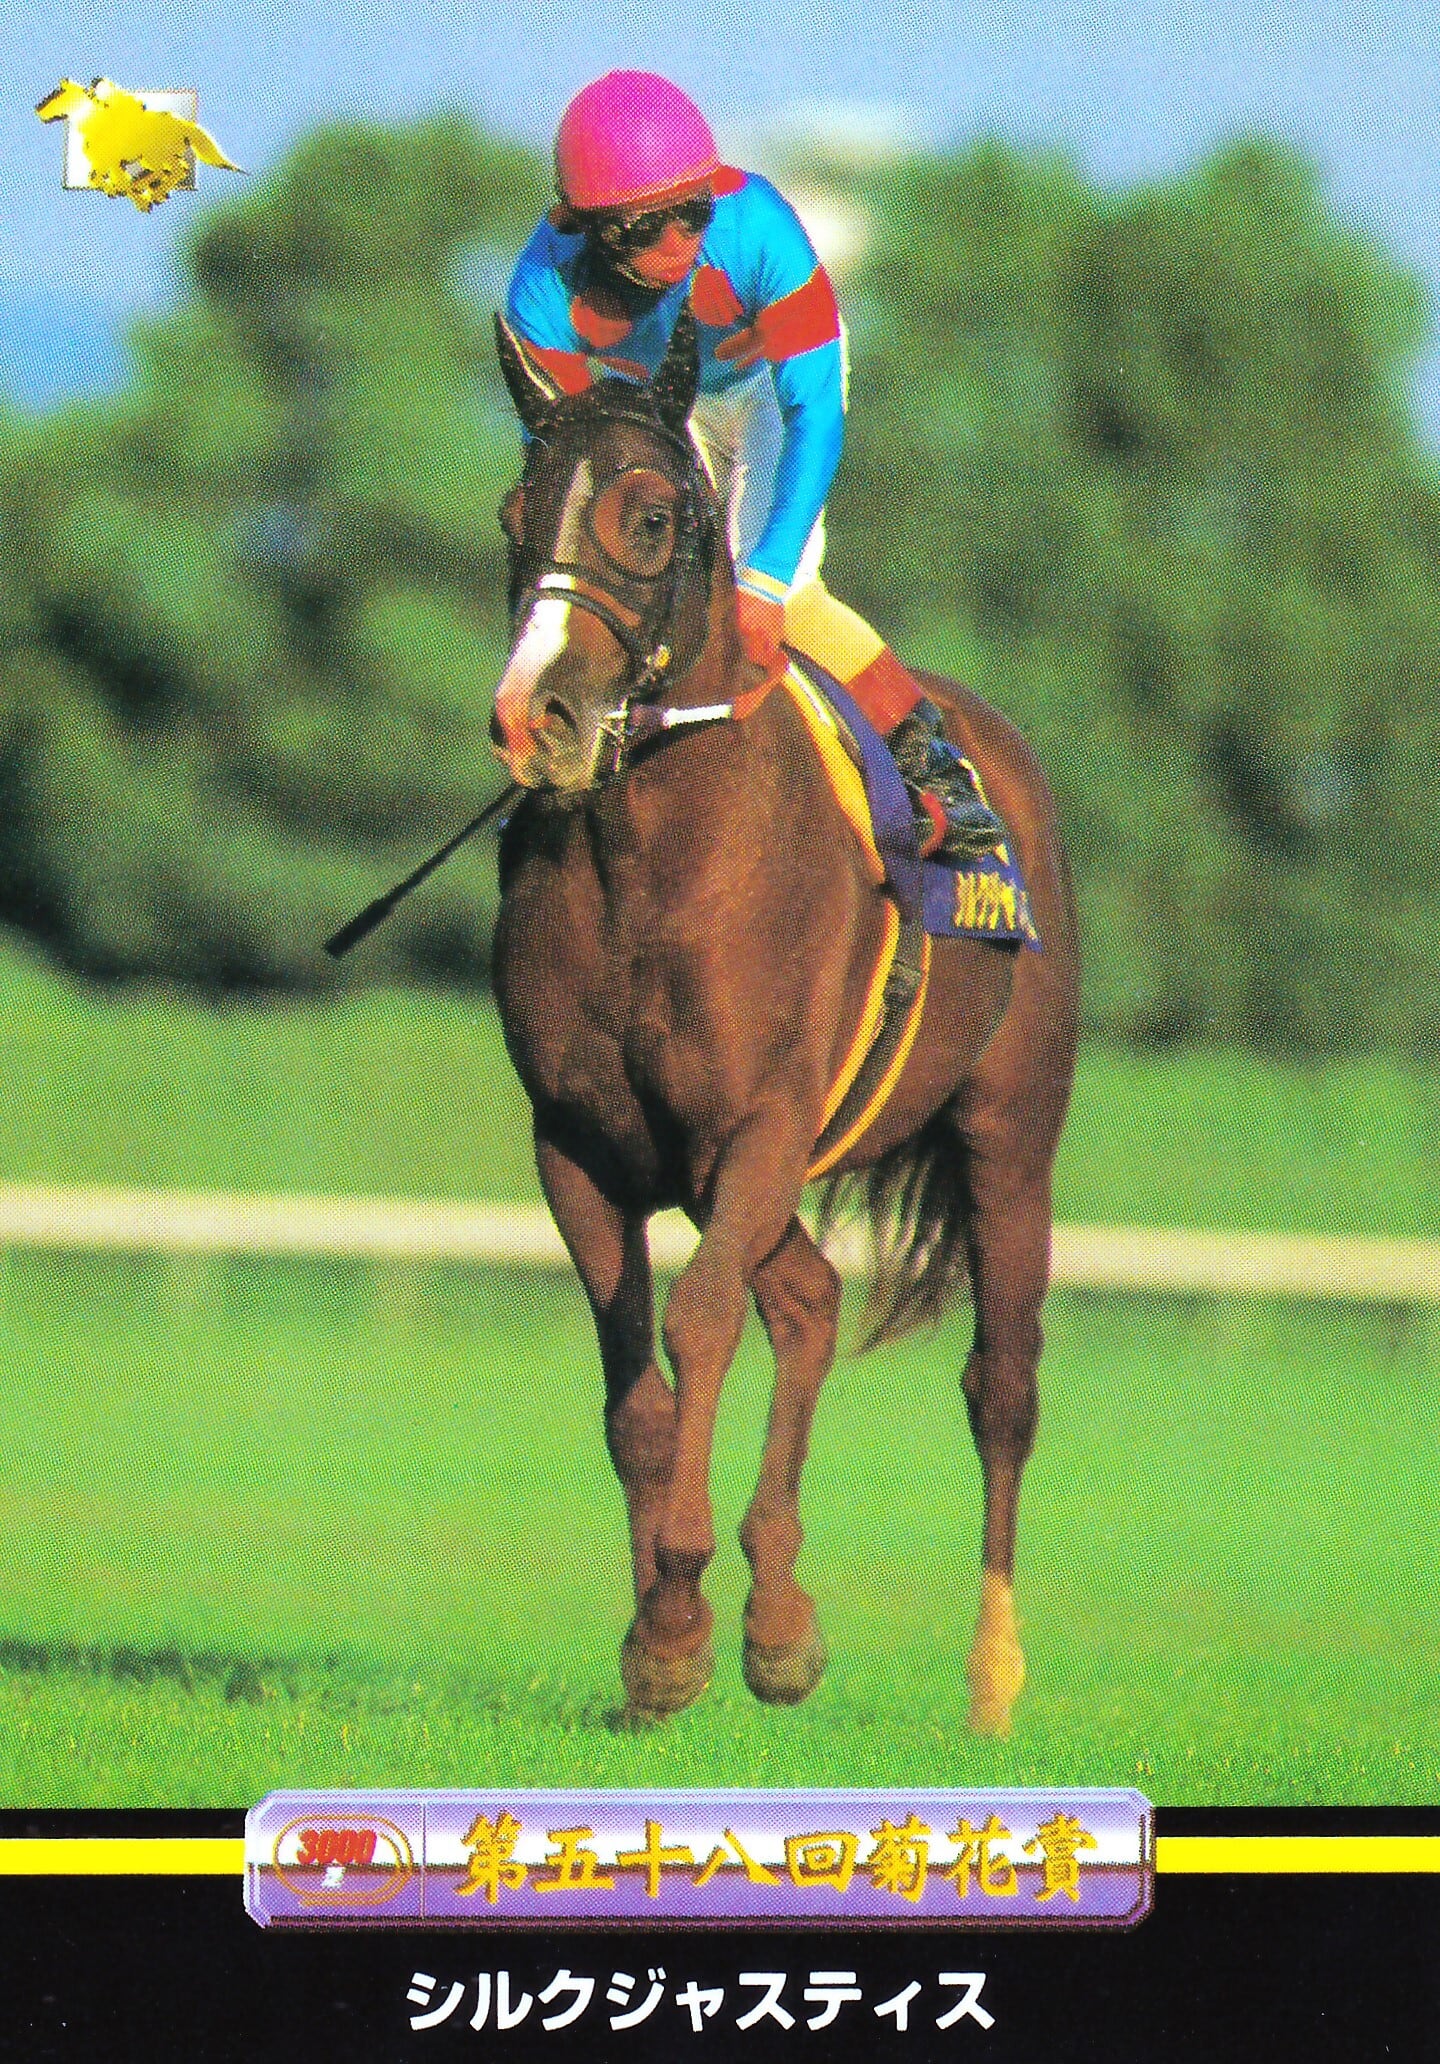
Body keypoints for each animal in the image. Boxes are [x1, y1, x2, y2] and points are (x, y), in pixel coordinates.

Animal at [488, 307, 1079, 1736]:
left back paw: (990, 1681)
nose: (537, 718)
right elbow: (633, 1381)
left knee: (1001, 1386)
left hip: (1009, 1136)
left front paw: (676, 1615)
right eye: (511, 516)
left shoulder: (758, 1120)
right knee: (808, 1300)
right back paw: (781, 1623)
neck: (648, 854)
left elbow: (700, 1322)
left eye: (651, 518)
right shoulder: (579, 1143)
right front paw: (666, 1637)